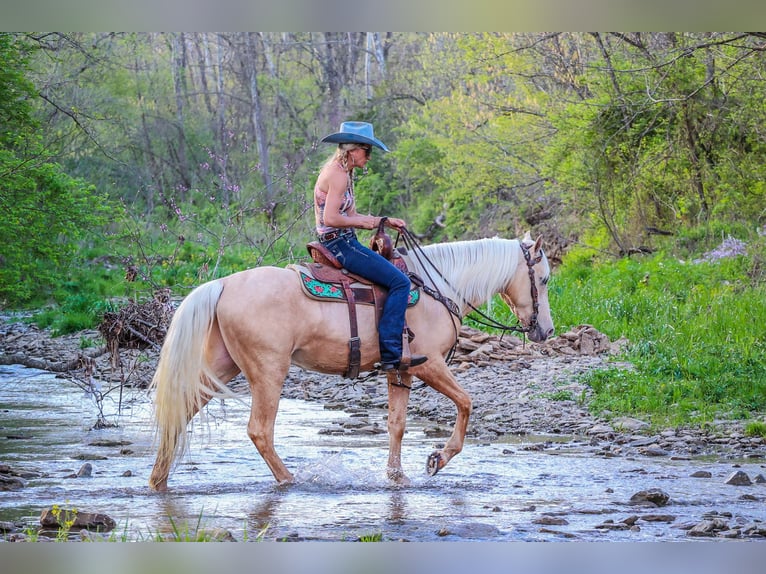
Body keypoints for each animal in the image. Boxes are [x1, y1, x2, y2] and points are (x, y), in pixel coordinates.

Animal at [147, 232, 556, 492]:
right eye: (545, 279)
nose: (547, 331)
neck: (438, 288)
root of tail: (223, 285)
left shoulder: (401, 370)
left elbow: (396, 425)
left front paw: (397, 477)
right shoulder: (428, 364)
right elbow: (466, 402)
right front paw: (437, 459)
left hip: (220, 368)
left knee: (179, 413)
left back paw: (158, 481)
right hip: (268, 371)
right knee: (259, 430)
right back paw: (290, 480)